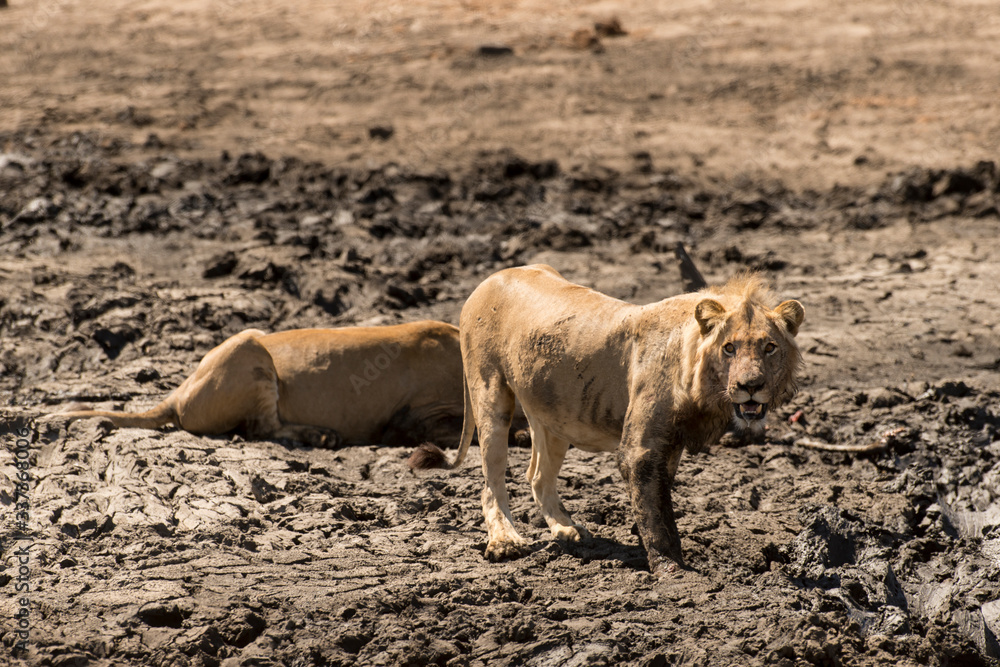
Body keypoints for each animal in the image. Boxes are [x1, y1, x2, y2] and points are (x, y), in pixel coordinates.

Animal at [409, 265, 804, 573]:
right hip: (489, 392)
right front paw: (671, 569)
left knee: (537, 476)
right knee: (491, 480)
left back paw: (567, 530)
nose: (750, 386)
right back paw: (505, 541)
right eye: (729, 348)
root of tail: (490, 278)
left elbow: (657, 499)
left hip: (553, 415)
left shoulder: (670, 443)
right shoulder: (639, 449)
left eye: (770, 347)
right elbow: (656, 512)